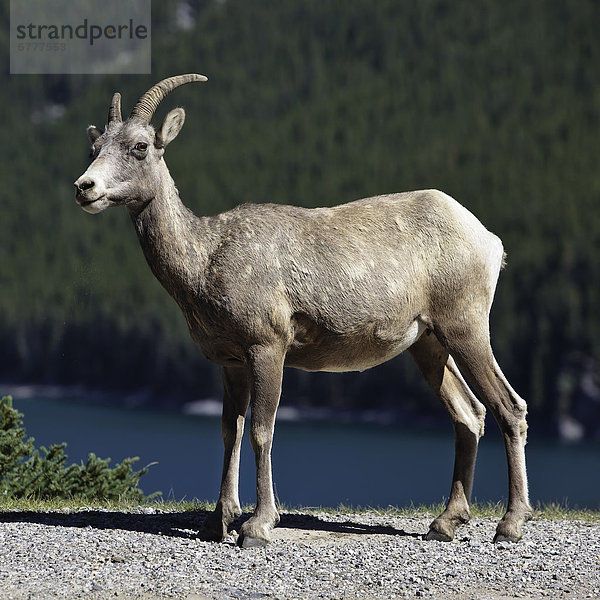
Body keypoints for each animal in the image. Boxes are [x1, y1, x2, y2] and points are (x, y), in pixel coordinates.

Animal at [74, 74, 528, 544]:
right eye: (94, 148)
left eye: (140, 146)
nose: (84, 188)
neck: (206, 258)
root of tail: (489, 240)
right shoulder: (231, 363)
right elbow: (230, 432)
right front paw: (217, 522)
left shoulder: (267, 348)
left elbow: (261, 431)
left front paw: (258, 526)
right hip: (429, 344)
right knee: (469, 415)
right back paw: (445, 523)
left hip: (466, 328)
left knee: (509, 407)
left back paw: (509, 526)